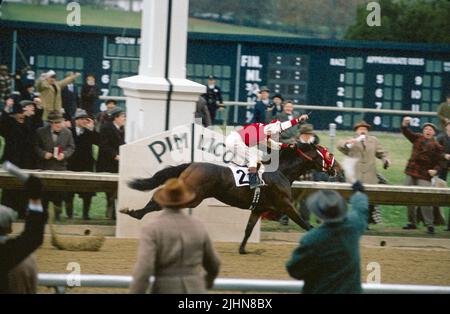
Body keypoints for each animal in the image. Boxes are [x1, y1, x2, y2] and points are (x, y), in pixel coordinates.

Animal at [119, 144, 330, 254]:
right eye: (327, 154)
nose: (335, 168)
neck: (281, 171)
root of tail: (192, 164)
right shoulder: (285, 205)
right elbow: (305, 224)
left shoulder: (259, 209)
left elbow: (248, 229)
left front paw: (243, 249)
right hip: (193, 196)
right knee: (160, 198)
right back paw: (134, 213)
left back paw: (134, 212)